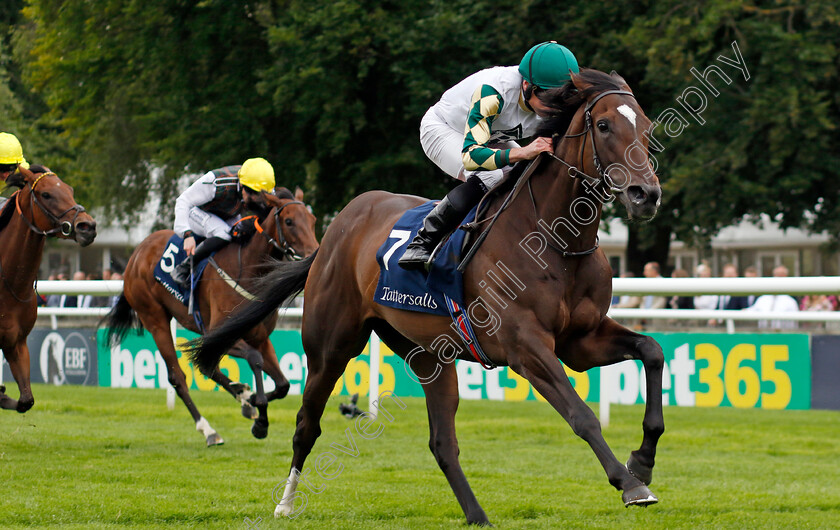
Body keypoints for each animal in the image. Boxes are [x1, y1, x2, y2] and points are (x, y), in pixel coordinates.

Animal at [0, 163, 97, 410]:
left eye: (70, 189)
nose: (88, 226)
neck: (9, 285)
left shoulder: (16, 342)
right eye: (46, 194)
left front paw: (3, 395)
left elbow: (26, 400)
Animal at [102, 188, 318, 444]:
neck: (248, 268)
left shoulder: (260, 337)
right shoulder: (222, 332)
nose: (315, 254)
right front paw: (259, 417)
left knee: (206, 366)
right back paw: (209, 429)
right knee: (178, 376)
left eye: (313, 220)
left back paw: (241, 396)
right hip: (155, 319)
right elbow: (254, 359)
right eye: (289, 221)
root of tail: (137, 252)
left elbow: (283, 384)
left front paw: (252, 401)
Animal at [189, 69, 664, 520]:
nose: (646, 194)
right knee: (307, 424)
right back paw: (285, 502)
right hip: (331, 347)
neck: (557, 240)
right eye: (603, 125)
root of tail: (334, 233)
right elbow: (582, 416)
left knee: (442, 443)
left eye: (645, 125)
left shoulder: (579, 341)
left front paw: (642, 461)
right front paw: (630, 484)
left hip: (430, 355)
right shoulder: (527, 348)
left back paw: (478, 517)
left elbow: (652, 351)